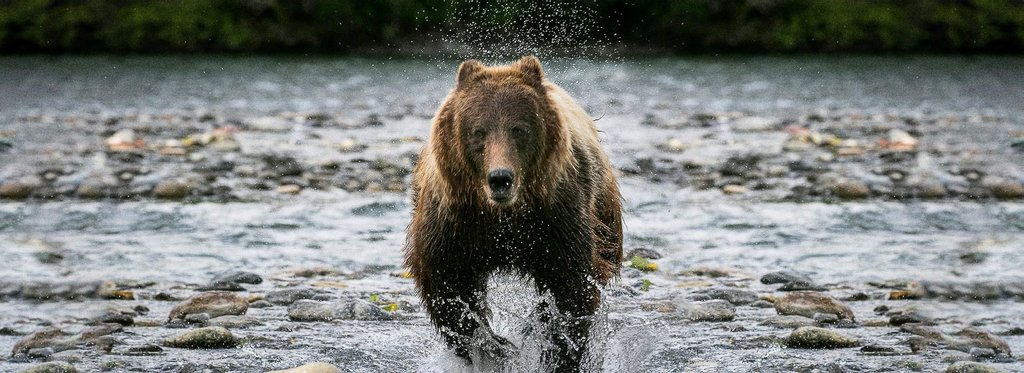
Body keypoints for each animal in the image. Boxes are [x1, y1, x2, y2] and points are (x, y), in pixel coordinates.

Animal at [403, 54, 618, 370]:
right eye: (479, 131)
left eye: (519, 129)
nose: (500, 178)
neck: (503, 216)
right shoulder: (453, 223)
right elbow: (446, 287)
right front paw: (492, 346)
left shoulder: (557, 219)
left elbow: (572, 286)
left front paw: (555, 347)